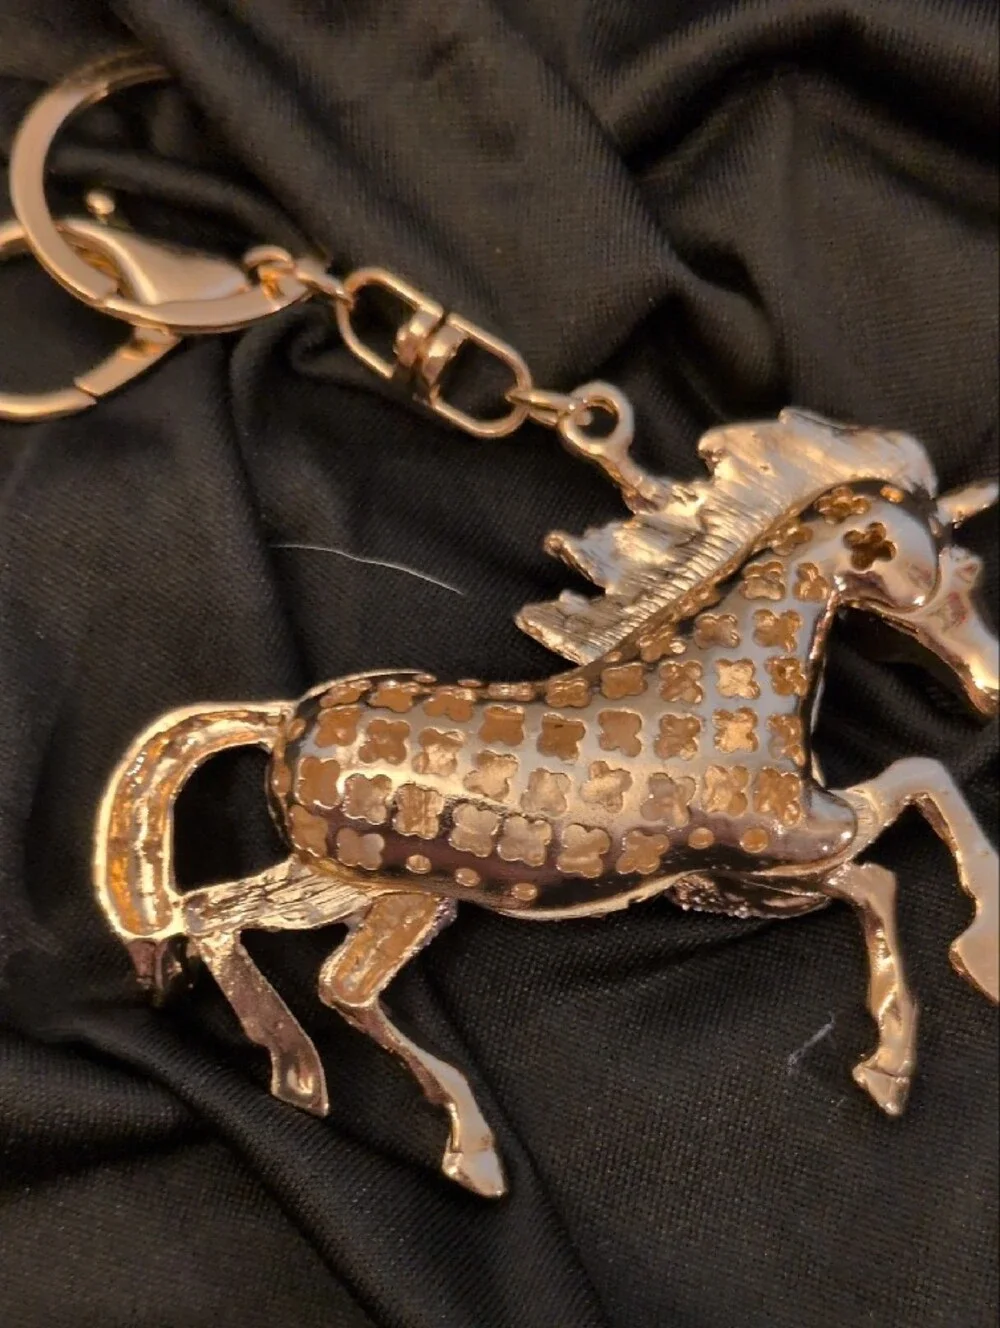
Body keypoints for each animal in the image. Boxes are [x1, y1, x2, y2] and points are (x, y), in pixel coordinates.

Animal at [93, 407, 998, 1198]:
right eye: (955, 573)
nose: (990, 688)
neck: (728, 675)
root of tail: (283, 719)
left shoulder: (725, 883)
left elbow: (918, 801)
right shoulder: (780, 846)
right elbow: (900, 836)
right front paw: (901, 1053)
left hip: (342, 880)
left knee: (215, 914)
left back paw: (297, 1076)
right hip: (404, 894)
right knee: (338, 982)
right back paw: (467, 1149)